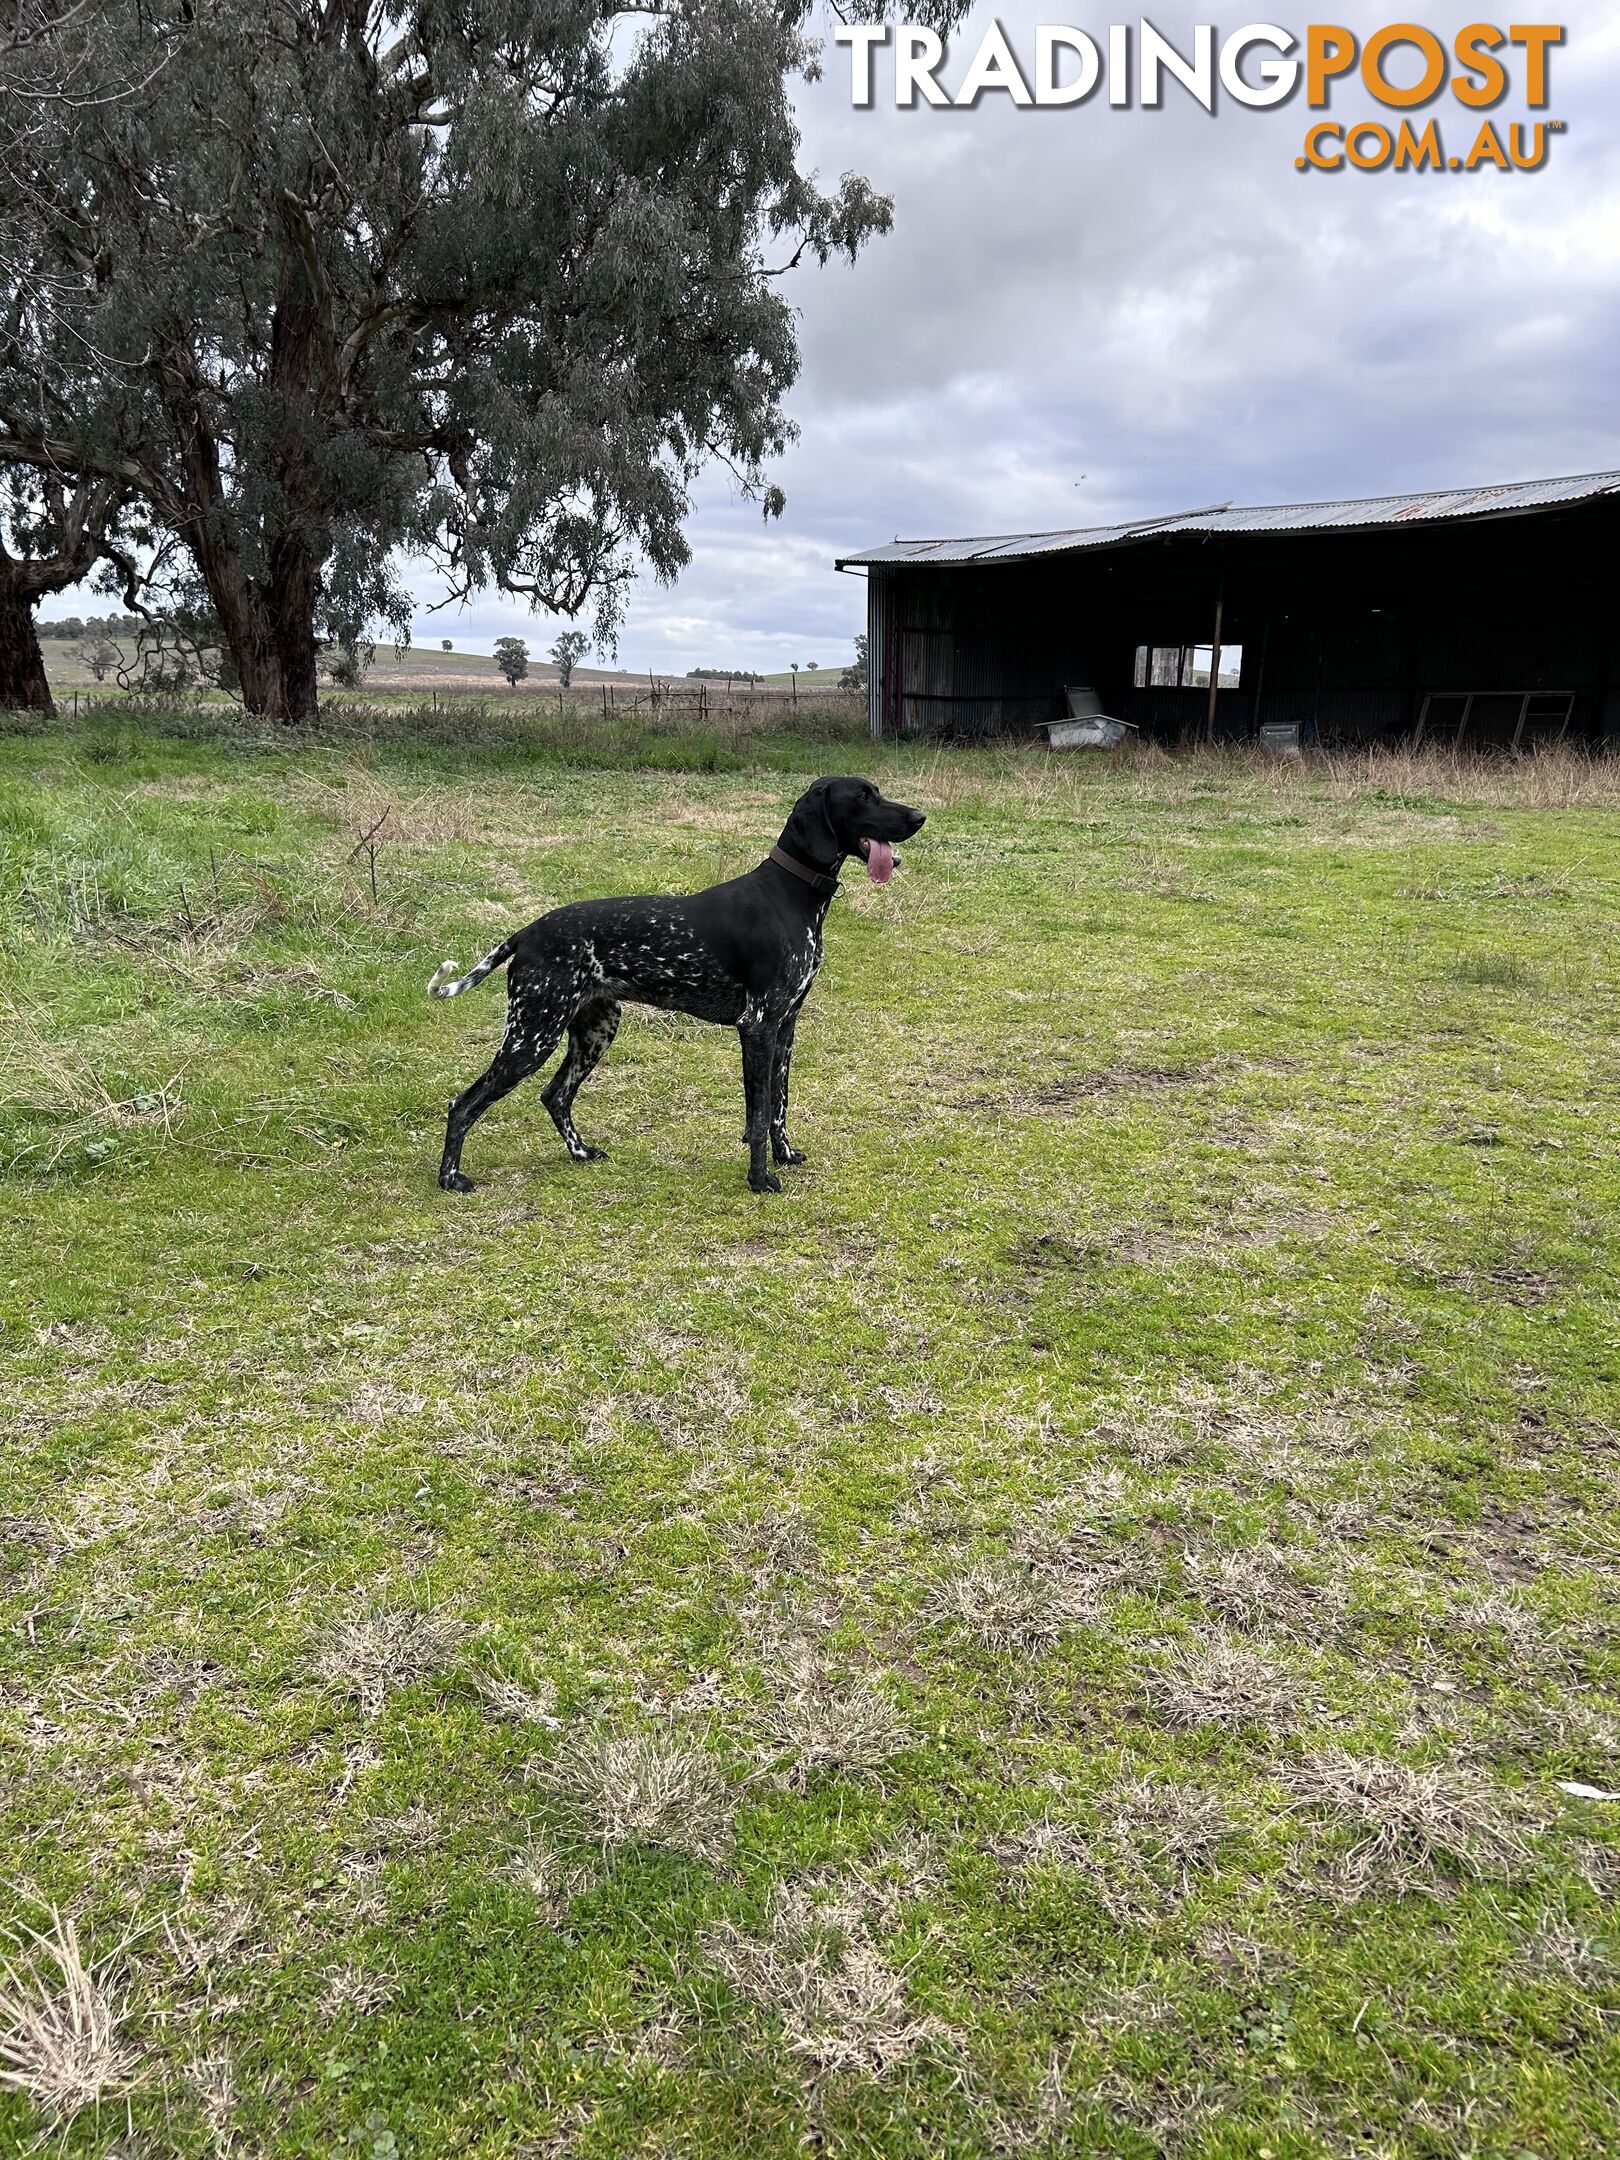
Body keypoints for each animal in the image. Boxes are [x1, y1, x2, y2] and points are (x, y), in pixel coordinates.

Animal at [427, 773, 924, 1192]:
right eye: (863, 797)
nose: (919, 816)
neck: (790, 895)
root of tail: (527, 932)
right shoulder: (757, 1027)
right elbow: (759, 1114)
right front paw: (760, 1179)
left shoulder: (785, 1027)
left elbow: (779, 1106)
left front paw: (784, 1156)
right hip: (532, 1035)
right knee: (464, 1104)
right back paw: (450, 1177)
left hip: (595, 1030)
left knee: (555, 1095)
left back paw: (580, 1151)